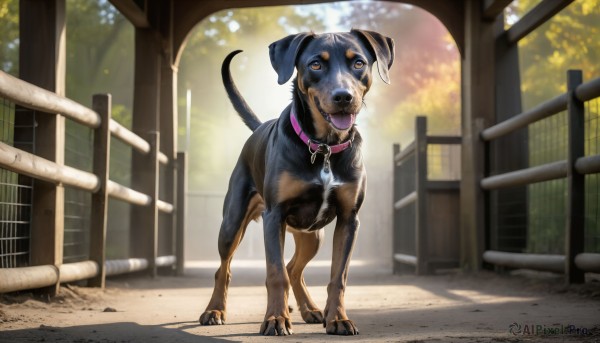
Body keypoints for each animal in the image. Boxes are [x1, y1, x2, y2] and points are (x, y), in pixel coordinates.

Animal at [200, 28, 394, 336]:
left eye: (358, 63)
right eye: (315, 64)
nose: (343, 97)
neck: (325, 148)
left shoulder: (349, 219)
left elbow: (338, 277)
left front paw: (338, 318)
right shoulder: (274, 217)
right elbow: (275, 273)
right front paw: (275, 319)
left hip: (313, 235)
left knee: (295, 268)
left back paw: (312, 310)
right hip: (232, 224)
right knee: (225, 269)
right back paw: (214, 310)